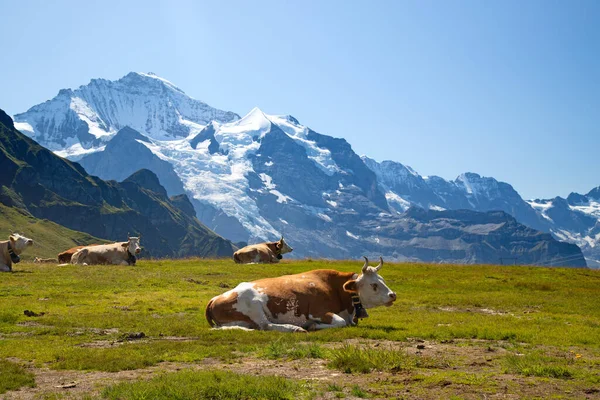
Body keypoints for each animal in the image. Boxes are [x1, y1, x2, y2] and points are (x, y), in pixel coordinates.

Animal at [206, 256, 398, 332]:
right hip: (254, 306)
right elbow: (340, 322)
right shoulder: (317, 311)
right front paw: (312, 325)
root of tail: (215, 298)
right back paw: (296, 328)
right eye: (374, 285)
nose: (393, 295)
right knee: (266, 325)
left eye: (382, 279)